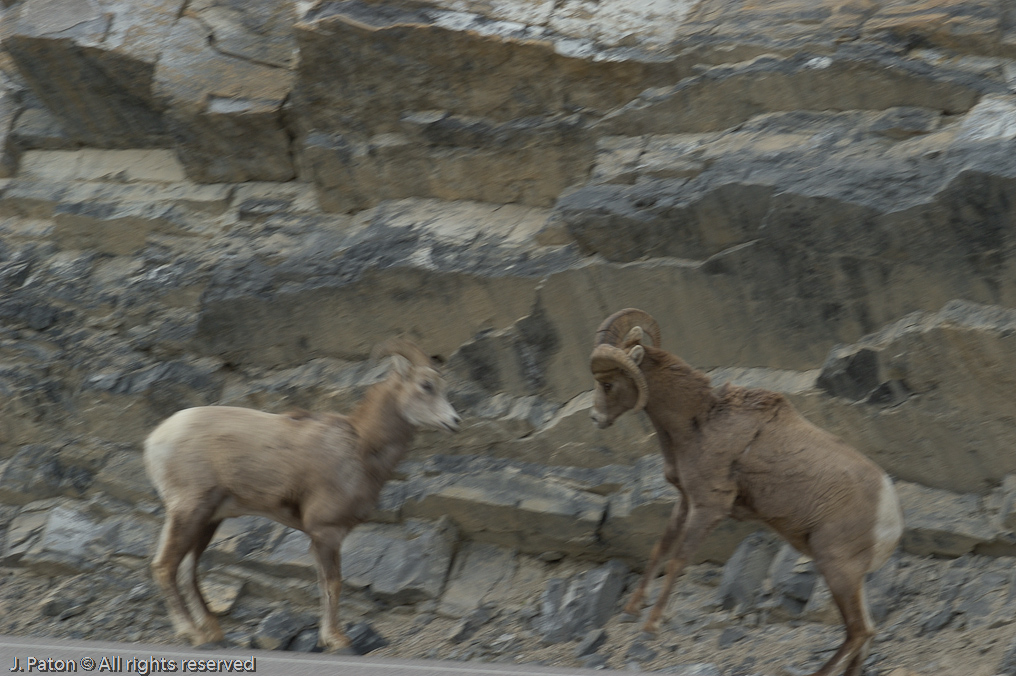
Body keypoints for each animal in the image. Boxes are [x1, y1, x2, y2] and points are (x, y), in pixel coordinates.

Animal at [143, 339, 461, 650]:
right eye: (426, 385)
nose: (455, 421)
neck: (360, 448)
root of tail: (155, 440)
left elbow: (323, 583)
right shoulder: (326, 532)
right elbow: (333, 583)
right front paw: (336, 639)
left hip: (208, 520)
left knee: (187, 571)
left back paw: (211, 632)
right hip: (189, 512)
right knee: (165, 567)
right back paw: (192, 633)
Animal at [593, 309, 902, 674]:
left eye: (608, 383)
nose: (595, 417)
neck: (699, 421)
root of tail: (890, 516)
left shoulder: (709, 508)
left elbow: (680, 557)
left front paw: (651, 624)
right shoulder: (685, 501)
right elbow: (661, 549)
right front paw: (631, 609)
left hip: (838, 571)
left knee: (857, 632)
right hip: (852, 579)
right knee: (866, 633)